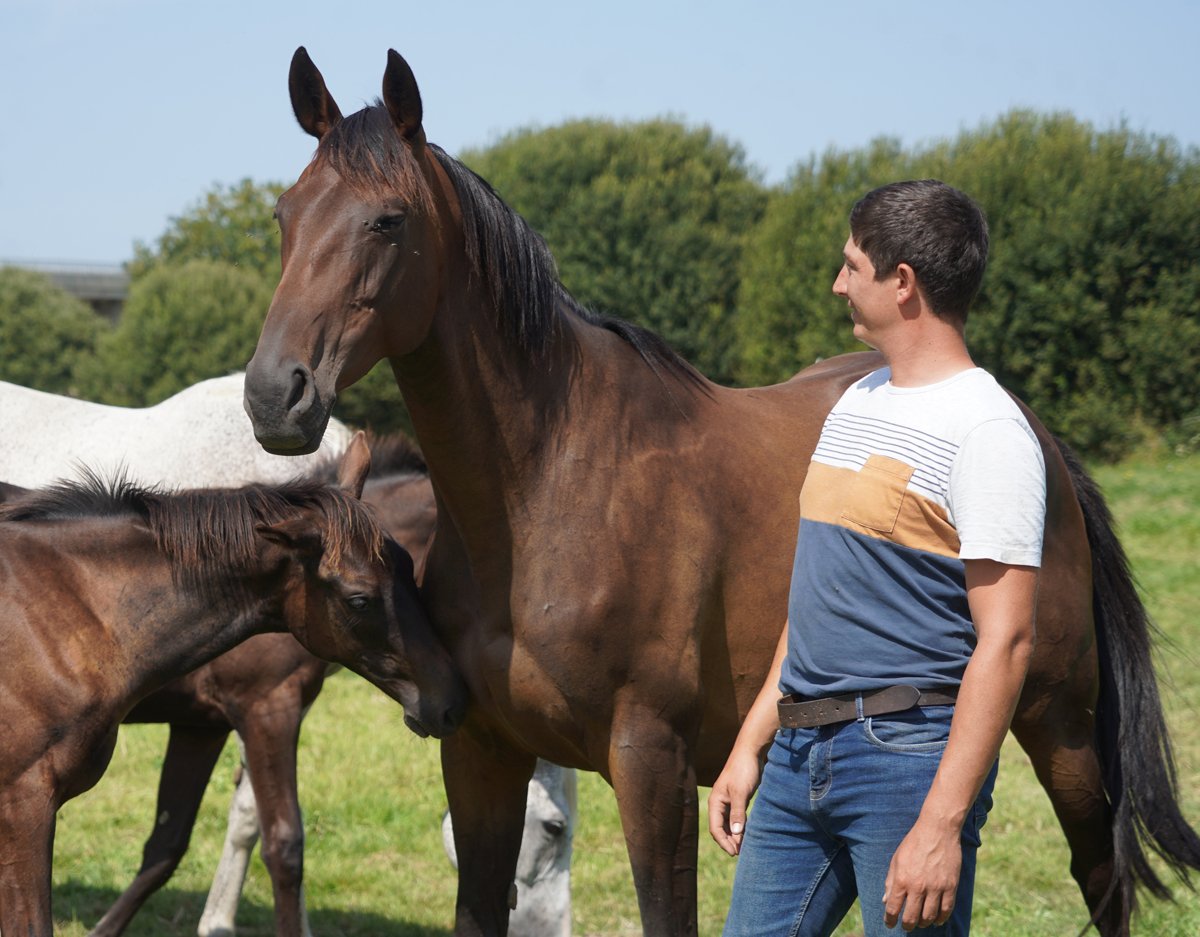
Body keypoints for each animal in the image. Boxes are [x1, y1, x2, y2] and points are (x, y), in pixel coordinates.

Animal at [0, 435, 468, 937]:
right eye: (358, 599)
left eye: (409, 567)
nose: (451, 702)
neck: (77, 609)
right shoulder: (266, 708)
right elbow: (283, 843)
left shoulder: (202, 726)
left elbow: (167, 843)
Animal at [240, 47, 1199, 936]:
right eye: (284, 214)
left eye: (387, 220)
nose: (274, 394)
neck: (548, 487)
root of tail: (1036, 436)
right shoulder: (480, 754)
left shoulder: (651, 765)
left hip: (1061, 727)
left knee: (1102, 875)